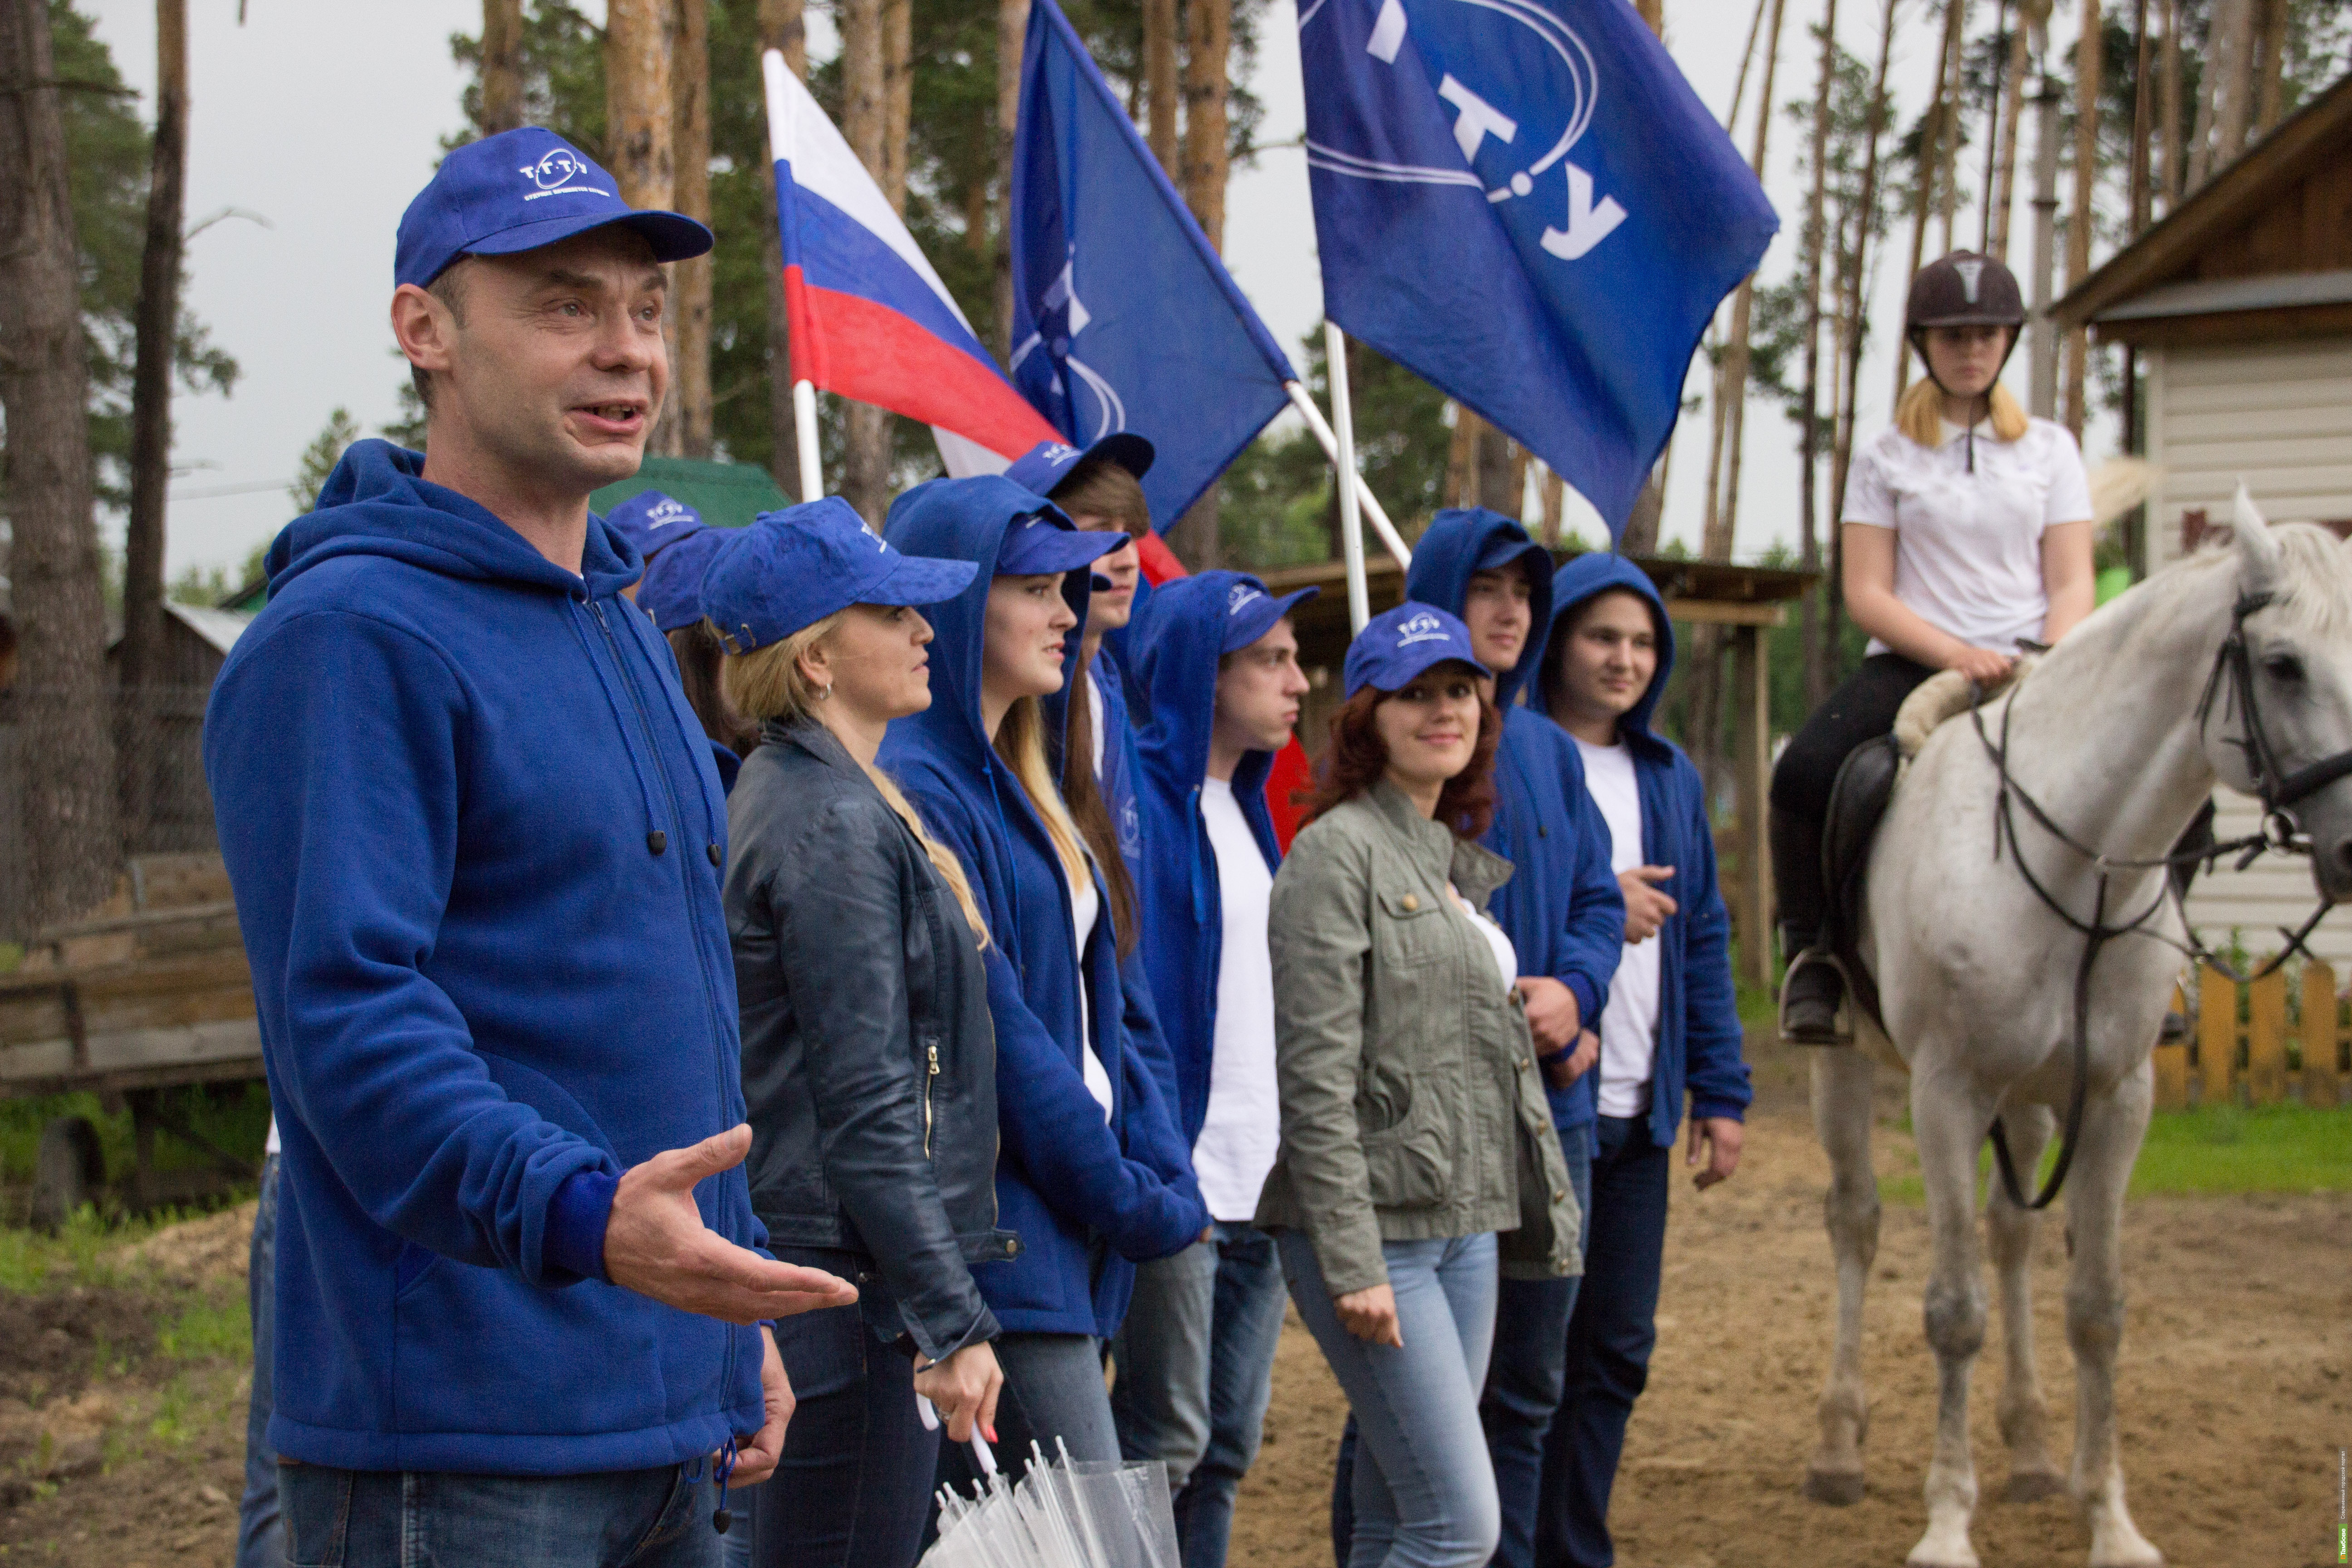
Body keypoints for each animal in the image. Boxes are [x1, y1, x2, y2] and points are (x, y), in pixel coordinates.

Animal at [1806, 496, 2352, 1568]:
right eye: (2280, 665)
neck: (2072, 861)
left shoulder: (2114, 1098)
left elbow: (2095, 1309)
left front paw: (2108, 1520)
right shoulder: (1944, 1095)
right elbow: (1952, 1311)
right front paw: (1946, 1525)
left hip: (2028, 1102)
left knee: (2012, 1236)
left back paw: (2027, 1453)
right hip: (1846, 1064)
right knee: (1855, 1223)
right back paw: (1841, 1449)